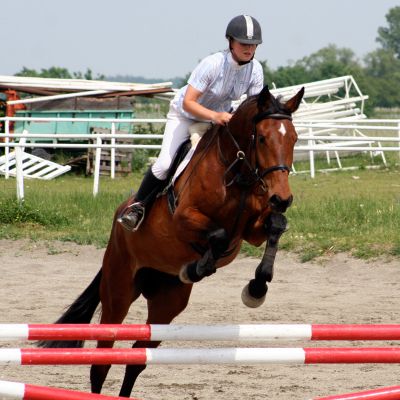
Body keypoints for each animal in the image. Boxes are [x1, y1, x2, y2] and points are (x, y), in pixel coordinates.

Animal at [39, 85, 304, 396]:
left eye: (294, 138)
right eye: (262, 138)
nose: (282, 199)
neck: (236, 172)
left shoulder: (252, 230)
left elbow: (275, 227)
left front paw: (257, 288)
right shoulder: (183, 219)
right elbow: (218, 235)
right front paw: (196, 269)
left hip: (166, 305)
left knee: (137, 358)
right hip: (118, 292)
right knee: (102, 361)